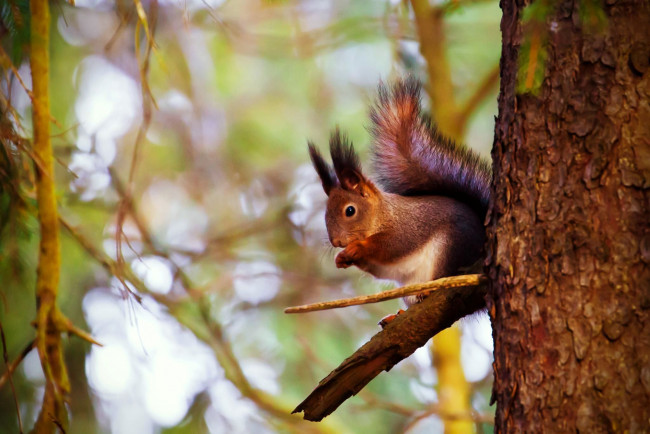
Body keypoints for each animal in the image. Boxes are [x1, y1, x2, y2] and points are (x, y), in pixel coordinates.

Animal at [306, 78, 488, 312]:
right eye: (325, 212)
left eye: (350, 210)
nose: (336, 242)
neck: (383, 214)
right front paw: (342, 258)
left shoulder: (407, 227)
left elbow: (391, 245)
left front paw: (358, 247)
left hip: (451, 249)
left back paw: (430, 290)